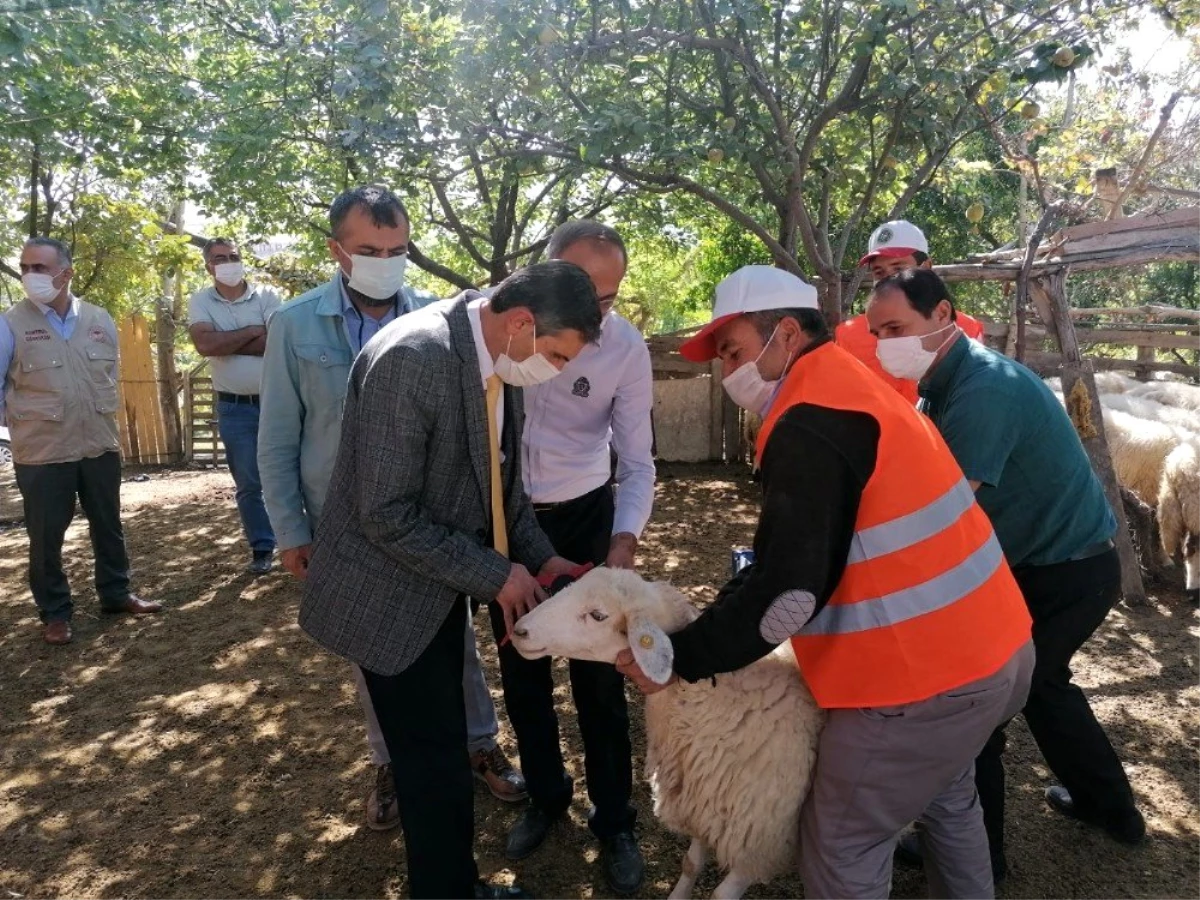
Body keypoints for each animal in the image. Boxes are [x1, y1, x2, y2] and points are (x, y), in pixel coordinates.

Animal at [506, 571, 825, 900]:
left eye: (598, 615)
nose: (519, 630)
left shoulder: (758, 842)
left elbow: (721, 894)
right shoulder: (703, 802)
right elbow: (690, 864)